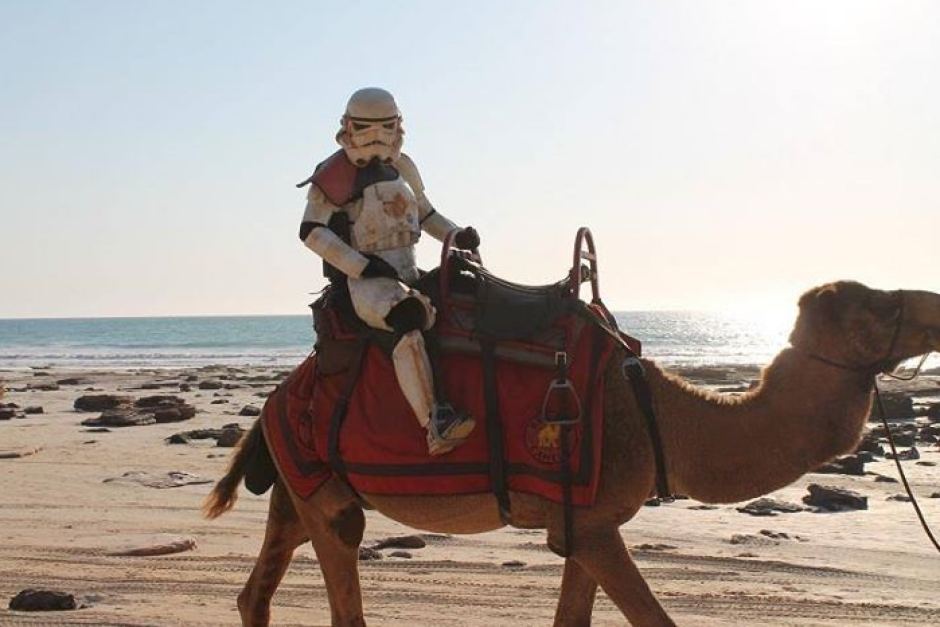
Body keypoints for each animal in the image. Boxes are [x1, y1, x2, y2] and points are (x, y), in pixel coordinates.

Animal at [204, 282, 940, 624]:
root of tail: (278, 397)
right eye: (877, 307)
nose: (934, 303)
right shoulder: (590, 523)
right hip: (326, 487)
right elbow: (653, 617)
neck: (657, 416)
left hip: (301, 482)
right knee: (342, 577)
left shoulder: (585, 522)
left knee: (257, 587)